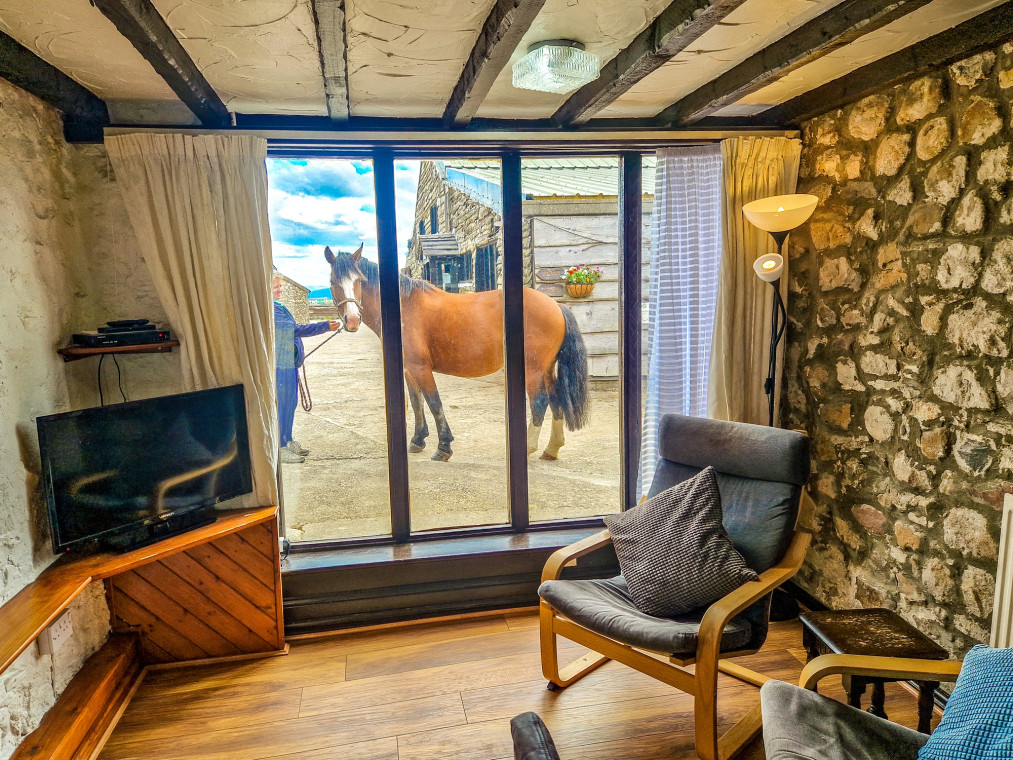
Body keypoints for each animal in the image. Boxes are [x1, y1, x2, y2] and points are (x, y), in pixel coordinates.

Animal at [324, 245, 589, 462]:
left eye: (360, 280)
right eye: (333, 282)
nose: (352, 320)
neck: (403, 307)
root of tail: (556, 306)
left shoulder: (421, 368)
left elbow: (434, 403)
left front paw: (443, 447)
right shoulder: (409, 369)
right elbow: (417, 403)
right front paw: (417, 440)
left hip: (532, 369)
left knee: (540, 402)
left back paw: (527, 447)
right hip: (546, 369)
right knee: (556, 401)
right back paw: (551, 449)